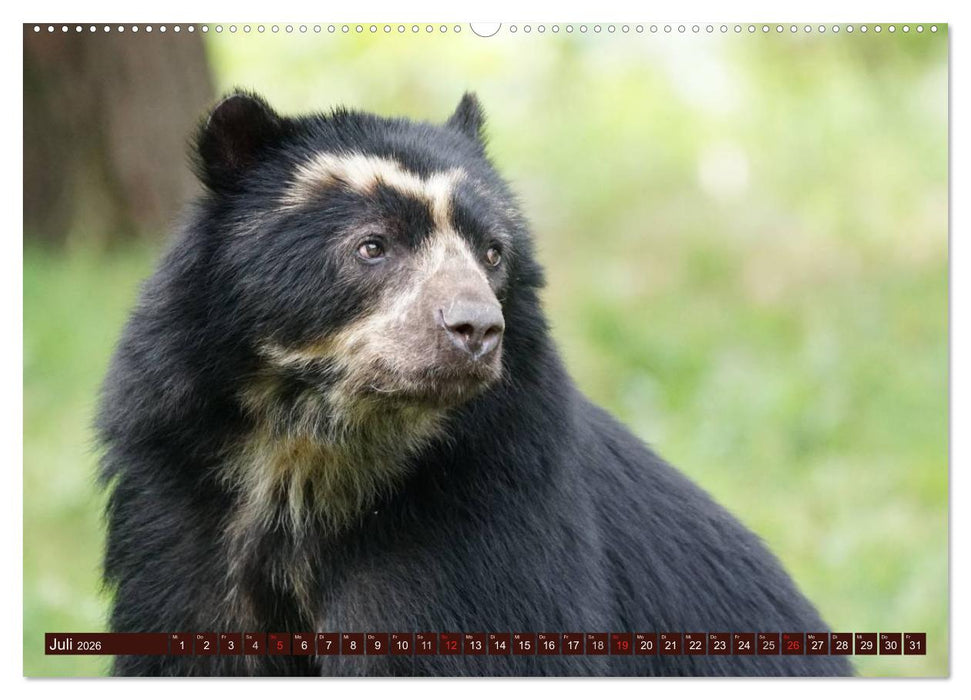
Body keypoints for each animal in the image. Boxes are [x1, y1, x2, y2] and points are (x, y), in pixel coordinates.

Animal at [97, 90, 852, 677]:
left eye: (492, 253)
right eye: (372, 246)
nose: (477, 329)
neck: (313, 450)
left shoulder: (478, 510)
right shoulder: (181, 503)